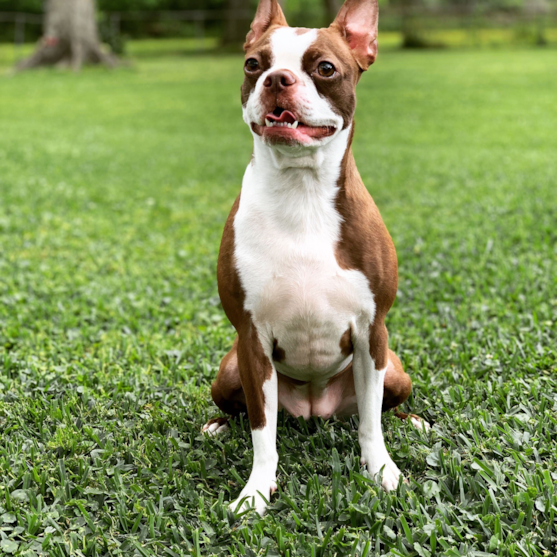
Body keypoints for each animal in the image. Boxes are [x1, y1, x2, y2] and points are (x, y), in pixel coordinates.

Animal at [202, 0, 428, 512]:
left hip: (396, 370)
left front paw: (381, 470)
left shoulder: (372, 332)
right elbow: (262, 431)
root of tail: (313, 409)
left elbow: (371, 421)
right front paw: (256, 491)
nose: (277, 79)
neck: (300, 189)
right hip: (229, 369)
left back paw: (414, 421)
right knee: (240, 409)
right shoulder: (251, 340)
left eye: (325, 68)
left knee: (383, 406)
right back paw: (218, 427)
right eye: (253, 64)